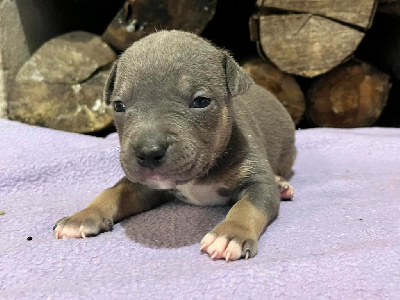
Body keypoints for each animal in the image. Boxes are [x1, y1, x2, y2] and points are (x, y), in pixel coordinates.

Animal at [54, 29, 296, 262]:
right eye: (119, 105)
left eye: (201, 102)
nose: (148, 152)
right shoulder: (144, 185)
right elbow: (114, 192)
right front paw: (82, 216)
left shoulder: (258, 181)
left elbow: (247, 206)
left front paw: (230, 235)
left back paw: (281, 185)